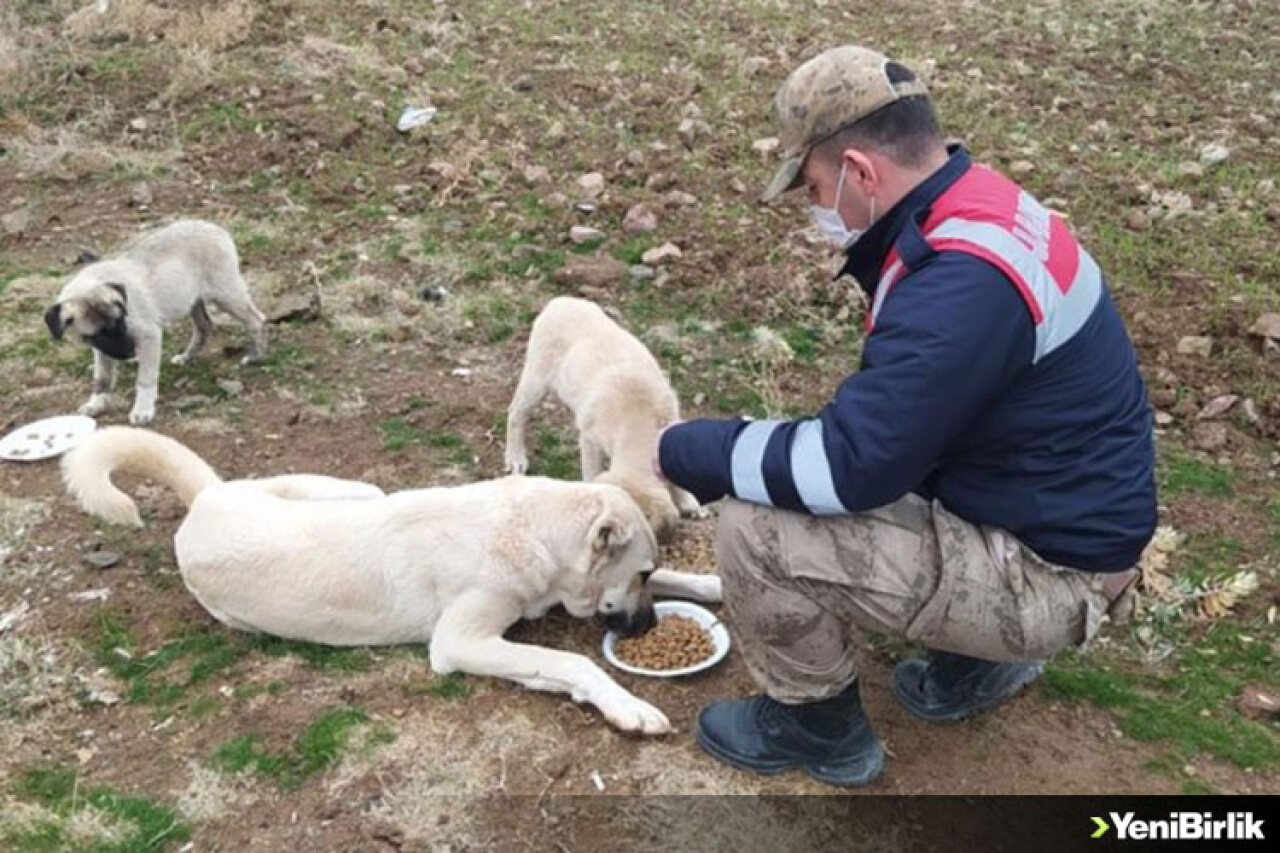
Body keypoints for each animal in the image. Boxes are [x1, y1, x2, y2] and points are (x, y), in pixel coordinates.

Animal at [60, 425, 721, 732]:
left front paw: (710, 586)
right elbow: (571, 664)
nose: (650, 627)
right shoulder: (461, 642)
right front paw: (626, 706)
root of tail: (205, 499)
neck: (529, 527)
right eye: (639, 573)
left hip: (356, 490)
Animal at [501, 297, 706, 537]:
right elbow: (592, 473)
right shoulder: (590, 439)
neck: (638, 425)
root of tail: (558, 301)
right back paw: (515, 458)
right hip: (537, 377)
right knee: (516, 412)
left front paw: (689, 501)